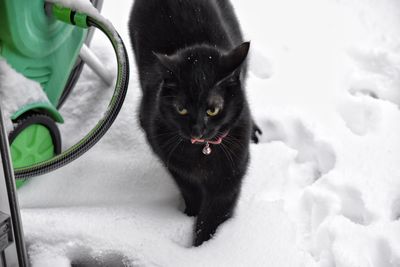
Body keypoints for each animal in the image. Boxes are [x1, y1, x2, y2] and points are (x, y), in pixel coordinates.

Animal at [130, 0, 260, 247]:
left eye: (213, 109)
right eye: (181, 108)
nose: (198, 129)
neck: (202, 152)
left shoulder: (229, 179)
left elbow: (212, 217)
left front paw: (202, 248)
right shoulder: (173, 164)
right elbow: (191, 193)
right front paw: (190, 216)